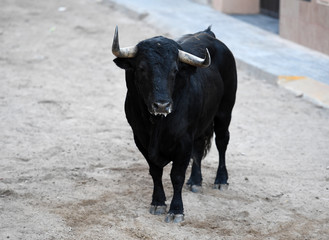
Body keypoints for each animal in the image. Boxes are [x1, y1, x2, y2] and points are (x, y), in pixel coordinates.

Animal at [111, 26, 237, 223]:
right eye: (142, 68)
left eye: (175, 70)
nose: (162, 105)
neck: (157, 124)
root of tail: (208, 34)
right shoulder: (140, 139)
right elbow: (155, 171)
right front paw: (158, 203)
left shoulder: (183, 142)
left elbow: (176, 175)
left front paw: (176, 210)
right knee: (199, 146)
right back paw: (195, 181)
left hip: (225, 112)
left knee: (222, 141)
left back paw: (221, 180)